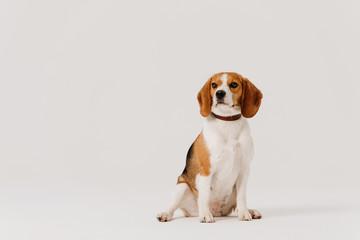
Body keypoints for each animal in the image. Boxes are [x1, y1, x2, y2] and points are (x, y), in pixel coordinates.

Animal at [156, 72, 262, 222]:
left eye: (234, 84)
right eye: (214, 85)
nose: (219, 93)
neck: (228, 123)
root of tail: (217, 211)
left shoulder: (244, 169)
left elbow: (242, 197)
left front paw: (244, 213)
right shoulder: (206, 170)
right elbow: (204, 196)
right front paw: (206, 215)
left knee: (236, 203)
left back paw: (251, 211)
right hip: (182, 187)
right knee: (172, 207)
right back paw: (166, 214)